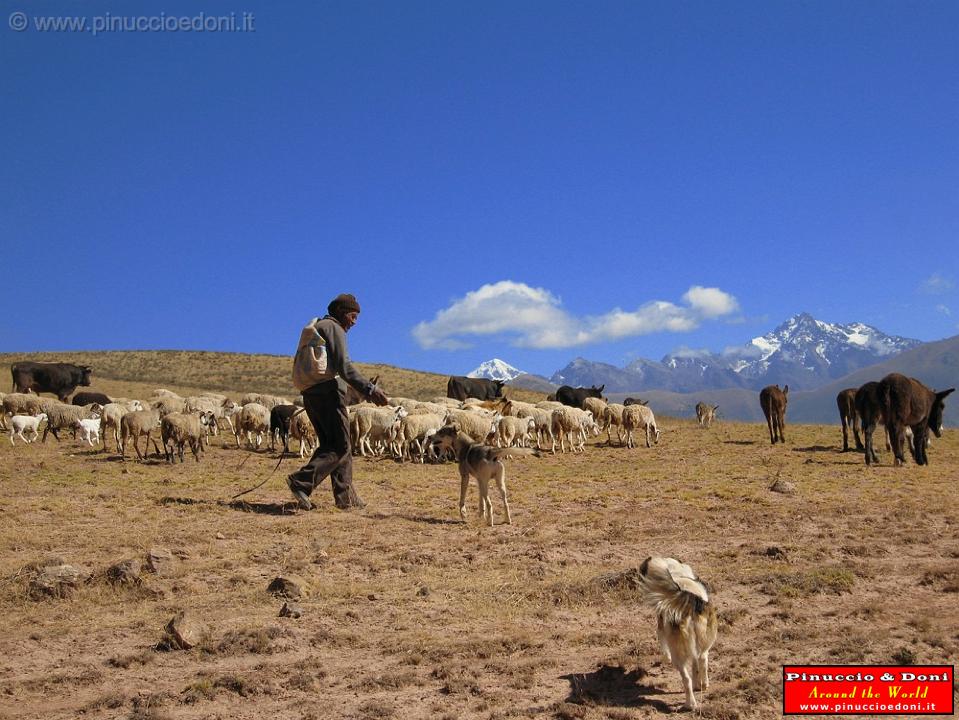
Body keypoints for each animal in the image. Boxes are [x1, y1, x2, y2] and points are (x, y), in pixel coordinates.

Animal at [636, 556, 720, 708]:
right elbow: (695, 665)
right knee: (703, 659)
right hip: (705, 641)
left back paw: (690, 704)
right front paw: (698, 683)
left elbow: (663, 646)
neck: (678, 574)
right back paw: (703, 684)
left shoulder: (661, 629)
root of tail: (690, 602)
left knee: (686, 678)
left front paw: (665, 658)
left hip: (677, 653)